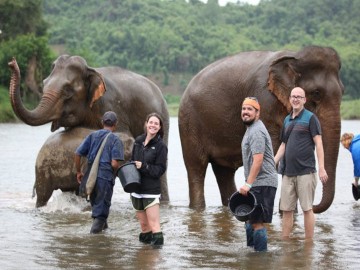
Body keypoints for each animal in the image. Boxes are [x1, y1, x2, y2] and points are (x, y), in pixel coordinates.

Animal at [8, 55, 170, 200]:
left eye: (67, 90)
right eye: (44, 83)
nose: (12, 62)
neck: (91, 70)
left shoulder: (112, 107)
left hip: (163, 119)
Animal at [179, 46, 344, 213]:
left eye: (343, 92)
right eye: (316, 93)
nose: (314, 206)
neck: (294, 56)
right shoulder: (265, 100)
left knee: (224, 172)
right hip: (189, 122)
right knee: (196, 166)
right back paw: (198, 209)